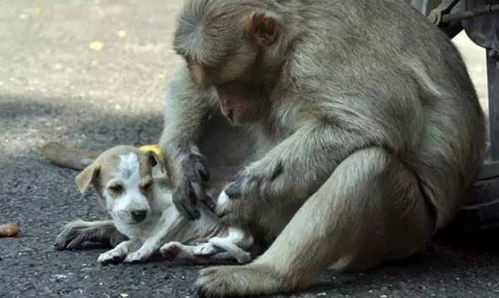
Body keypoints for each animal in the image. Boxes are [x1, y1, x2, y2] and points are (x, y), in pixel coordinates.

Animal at [69, 146, 254, 264]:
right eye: (116, 188)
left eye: (147, 184)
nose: (139, 213)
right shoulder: (137, 235)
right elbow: (125, 243)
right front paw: (113, 252)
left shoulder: (176, 209)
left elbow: (155, 235)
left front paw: (141, 253)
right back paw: (185, 249)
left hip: (225, 206)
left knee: (242, 238)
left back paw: (207, 246)